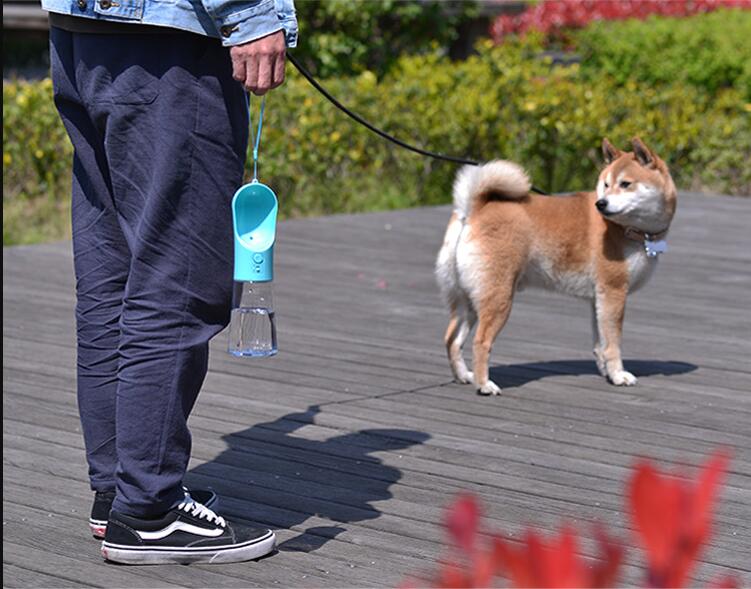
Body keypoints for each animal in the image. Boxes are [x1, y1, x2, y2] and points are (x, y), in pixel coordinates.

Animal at [432, 138, 680, 396]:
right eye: (606, 184)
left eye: (625, 184)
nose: (601, 203)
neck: (630, 230)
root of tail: (472, 209)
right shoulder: (614, 292)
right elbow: (613, 343)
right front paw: (619, 375)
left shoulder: (598, 299)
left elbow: (600, 343)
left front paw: (607, 373)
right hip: (498, 297)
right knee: (480, 342)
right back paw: (484, 384)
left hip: (468, 298)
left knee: (452, 339)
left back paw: (464, 376)